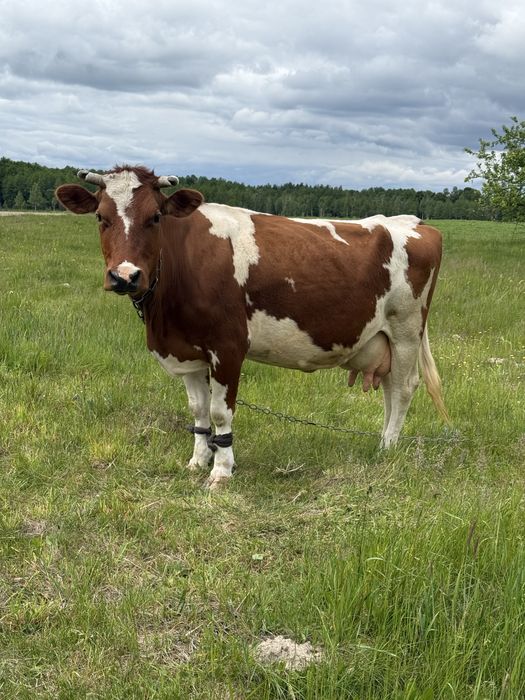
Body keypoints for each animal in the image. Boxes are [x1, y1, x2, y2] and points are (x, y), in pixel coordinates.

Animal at [56, 166, 449, 489]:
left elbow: (220, 412)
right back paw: (382, 442)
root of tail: (415, 222)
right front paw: (198, 460)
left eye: (154, 217)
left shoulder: (228, 347)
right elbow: (198, 411)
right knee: (389, 388)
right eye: (100, 217)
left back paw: (387, 447)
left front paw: (221, 471)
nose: (125, 276)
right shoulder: (187, 351)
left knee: (402, 388)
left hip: (406, 329)